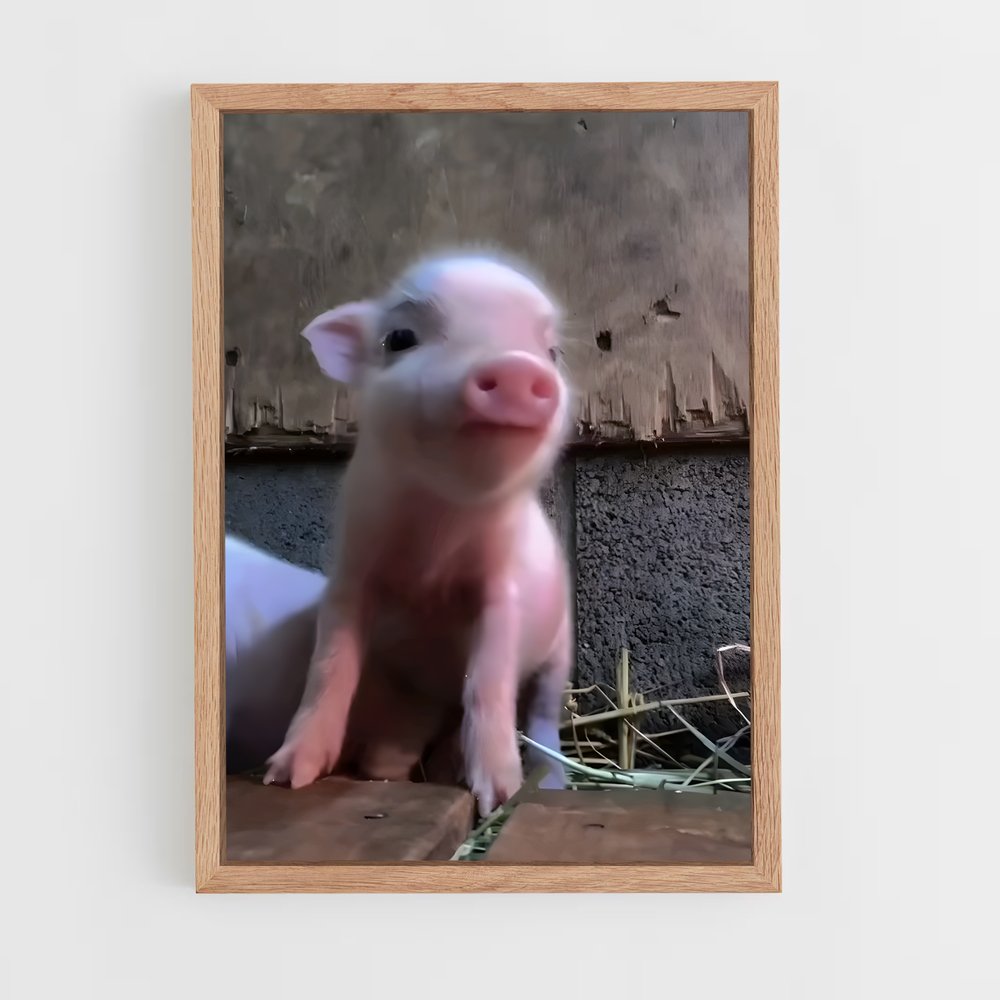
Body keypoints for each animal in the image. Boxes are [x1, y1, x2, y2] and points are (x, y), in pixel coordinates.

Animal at [263, 251, 574, 815]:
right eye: (400, 338)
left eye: (552, 352)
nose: (517, 368)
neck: (436, 537)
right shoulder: (351, 573)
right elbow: (329, 666)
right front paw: (285, 777)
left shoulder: (503, 591)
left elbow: (489, 680)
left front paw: (498, 795)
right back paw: (391, 772)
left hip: (561, 647)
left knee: (541, 716)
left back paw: (548, 783)